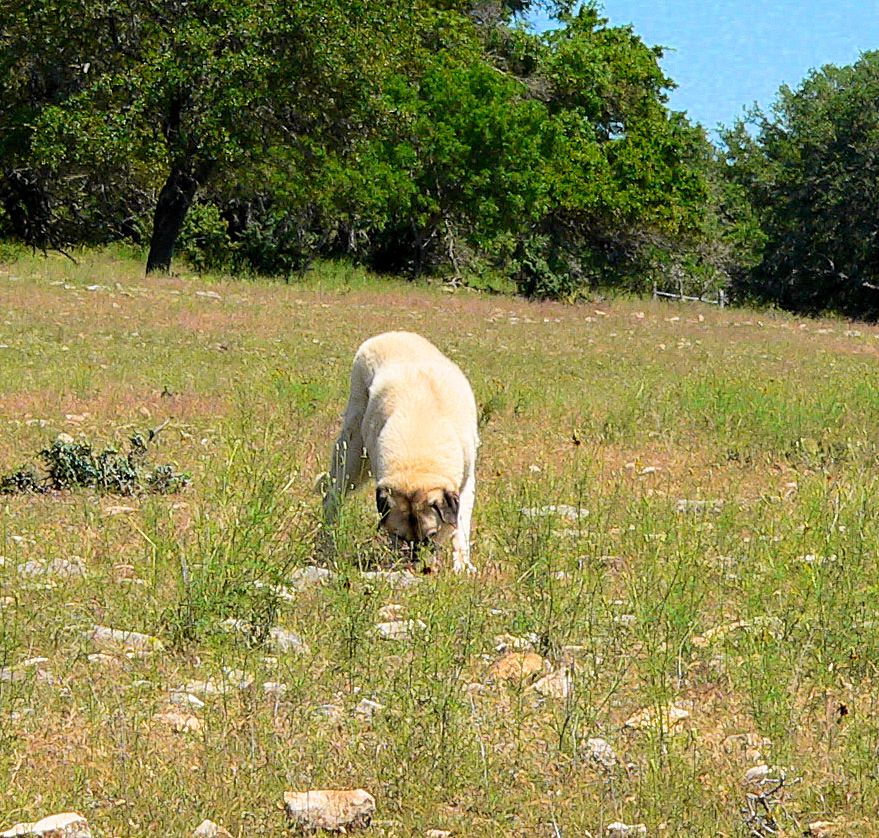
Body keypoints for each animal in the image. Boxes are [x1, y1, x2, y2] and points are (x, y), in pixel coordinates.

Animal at [324, 332, 478, 576]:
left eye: (431, 536)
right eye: (400, 537)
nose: (421, 569)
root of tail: (387, 334)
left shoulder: (466, 482)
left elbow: (460, 527)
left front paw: (462, 565)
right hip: (352, 454)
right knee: (331, 497)